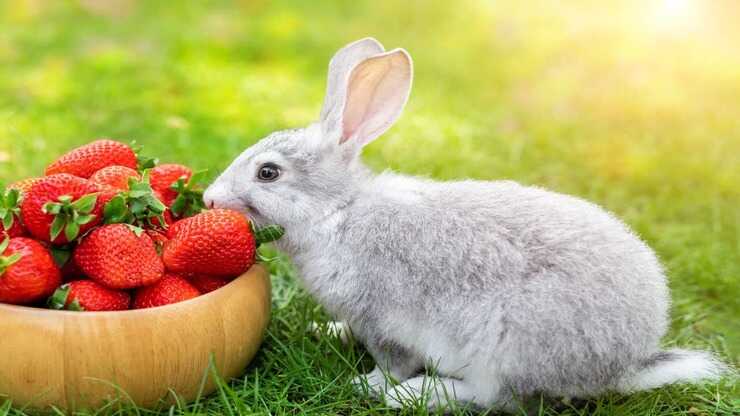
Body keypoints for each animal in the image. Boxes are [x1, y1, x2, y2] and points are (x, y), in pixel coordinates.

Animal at [203, 38, 728, 411]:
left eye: (268, 173)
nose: (209, 198)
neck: (339, 211)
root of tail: (621, 365)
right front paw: (327, 331)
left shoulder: (383, 318)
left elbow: (392, 361)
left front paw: (368, 382)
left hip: (506, 349)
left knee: (498, 399)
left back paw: (416, 395)